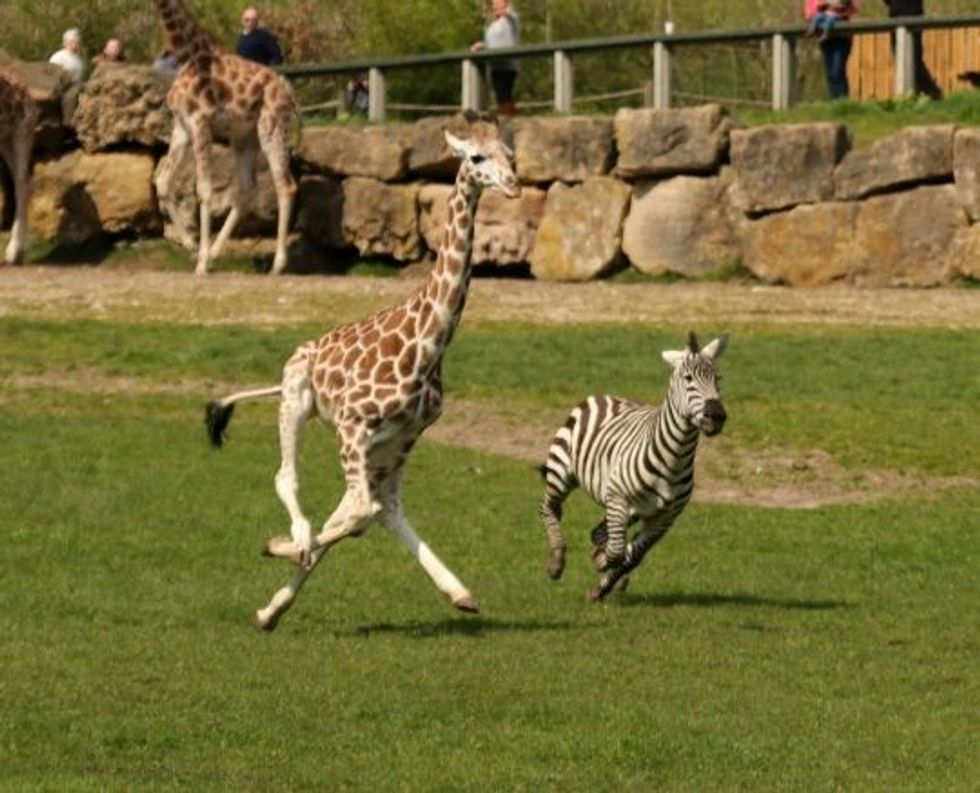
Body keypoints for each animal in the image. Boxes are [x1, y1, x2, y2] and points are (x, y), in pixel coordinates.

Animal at [538, 332, 728, 602]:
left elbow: (633, 556)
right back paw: (557, 561)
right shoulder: (619, 499)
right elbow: (618, 552)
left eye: (718, 378)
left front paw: (601, 586)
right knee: (549, 508)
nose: (717, 416)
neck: (674, 459)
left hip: (629, 508)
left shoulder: (665, 519)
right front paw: (603, 563)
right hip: (562, 473)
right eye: (688, 378)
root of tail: (606, 396)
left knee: (599, 532)